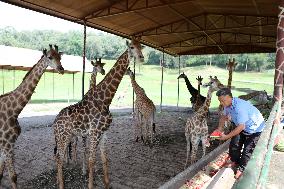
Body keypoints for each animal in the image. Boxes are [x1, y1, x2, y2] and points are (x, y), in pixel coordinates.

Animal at [0, 44, 63, 189]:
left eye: (60, 57)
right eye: (50, 57)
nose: (61, 69)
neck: (14, 111)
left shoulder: (9, 143)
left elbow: (2, 174)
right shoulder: (6, 143)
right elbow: (13, 176)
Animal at [53, 37, 144, 189]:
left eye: (141, 47)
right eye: (131, 47)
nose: (141, 58)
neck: (105, 100)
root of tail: (54, 123)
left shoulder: (103, 132)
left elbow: (104, 158)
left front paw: (107, 184)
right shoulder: (94, 132)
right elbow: (91, 160)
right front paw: (90, 182)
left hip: (69, 136)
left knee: (59, 156)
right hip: (63, 137)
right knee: (59, 157)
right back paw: (61, 185)